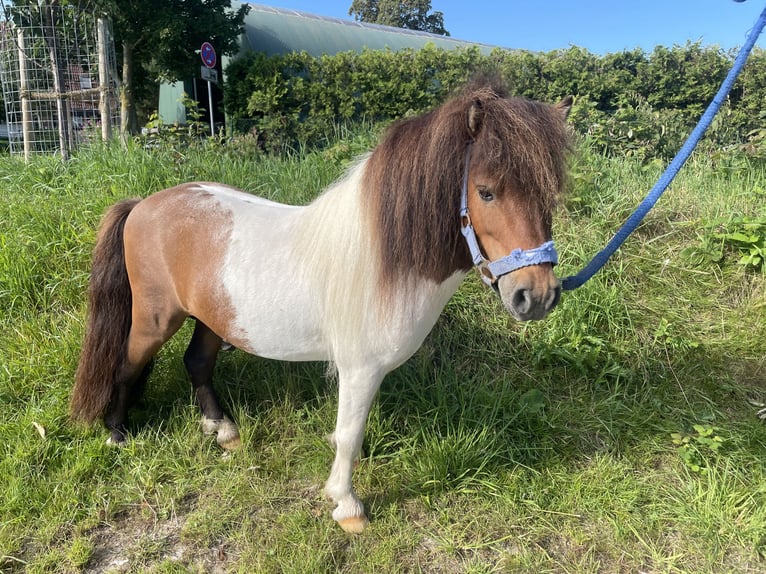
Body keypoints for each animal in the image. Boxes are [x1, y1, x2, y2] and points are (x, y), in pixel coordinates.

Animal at [72, 77, 572, 536]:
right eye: (486, 191)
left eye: (550, 194)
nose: (537, 296)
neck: (385, 258)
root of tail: (143, 205)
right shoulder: (360, 369)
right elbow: (349, 435)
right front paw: (346, 505)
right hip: (155, 319)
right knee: (127, 365)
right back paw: (117, 434)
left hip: (214, 318)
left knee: (196, 362)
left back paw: (222, 430)